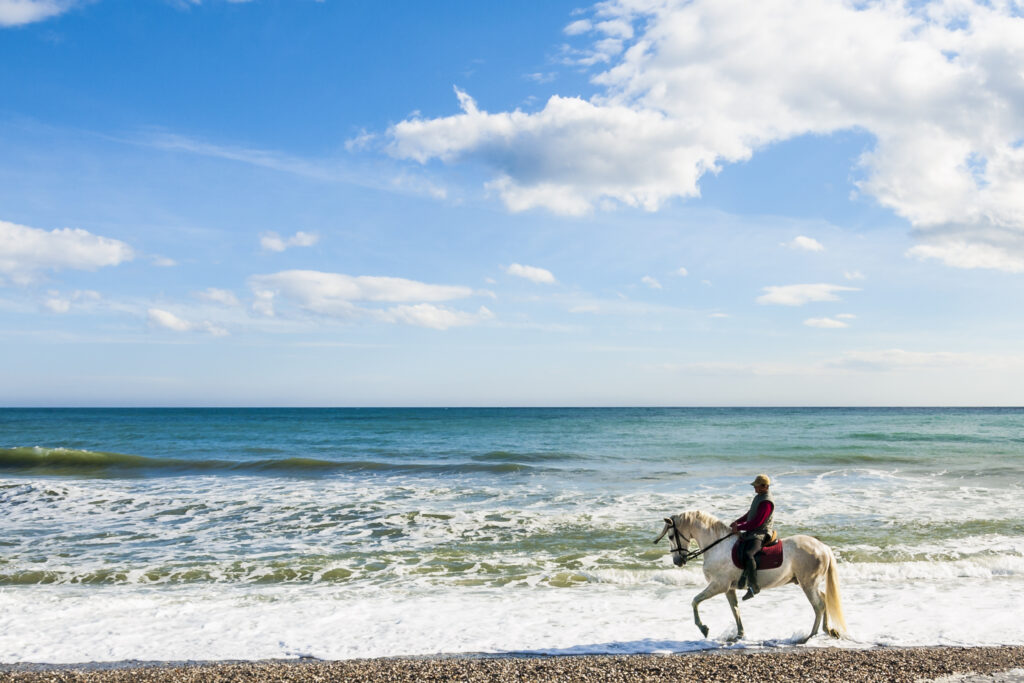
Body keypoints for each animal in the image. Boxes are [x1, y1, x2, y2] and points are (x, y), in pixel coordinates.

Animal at [655, 511, 847, 643]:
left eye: (671, 536)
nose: (678, 561)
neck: (717, 546)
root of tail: (823, 547)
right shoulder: (729, 589)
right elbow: (735, 610)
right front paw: (739, 635)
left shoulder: (719, 585)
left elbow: (695, 601)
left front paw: (704, 628)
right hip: (809, 584)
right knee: (824, 599)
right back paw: (828, 630)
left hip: (808, 584)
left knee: (819, 605)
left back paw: (810, 636)